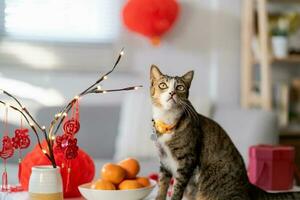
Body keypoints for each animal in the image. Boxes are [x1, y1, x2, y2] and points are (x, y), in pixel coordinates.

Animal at [150, 64, 300, 200]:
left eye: (180, 87)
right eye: (163, 85)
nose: (172, 93)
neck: (167, 122)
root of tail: (248, 184)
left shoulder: (186, 161)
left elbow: (177, 188)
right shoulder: (164, 162)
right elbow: (162, 185)